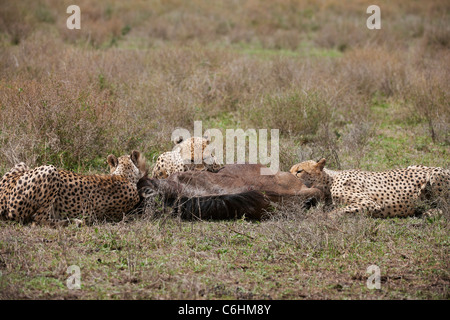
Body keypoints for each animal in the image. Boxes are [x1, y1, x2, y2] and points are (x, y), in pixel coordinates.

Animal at [290, 158, 448, 218]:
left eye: (299, 171)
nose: (288, 176)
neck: (329, 181)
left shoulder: (369, 203)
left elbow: (333, 213)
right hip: (413, 166)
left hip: (435, 175)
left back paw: (430, 212)